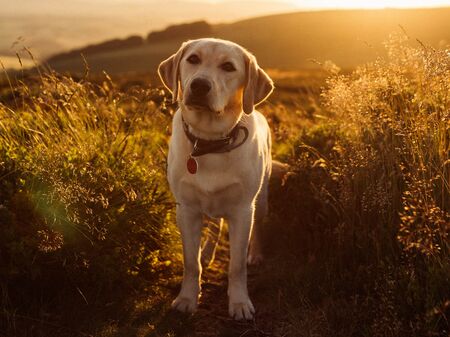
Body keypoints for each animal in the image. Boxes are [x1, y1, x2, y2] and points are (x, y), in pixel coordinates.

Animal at [158, 38, 274, 318]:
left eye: (228, 67)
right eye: (193, 59)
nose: (199, 85)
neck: (209, 142)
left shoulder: (243, 210)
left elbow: (236, 266)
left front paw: (240, 303)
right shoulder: (186, 209)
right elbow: (191, 263)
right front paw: (187, 298)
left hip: (261, 199)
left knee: (258, 228)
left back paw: (256, 255)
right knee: (214, 226)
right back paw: (208, 252)